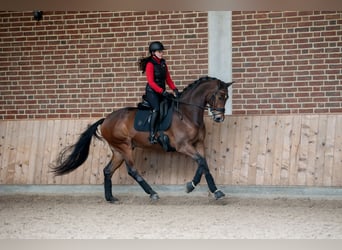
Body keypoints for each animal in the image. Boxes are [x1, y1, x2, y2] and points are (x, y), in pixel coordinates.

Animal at [50, 76, 234, 203]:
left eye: (226, 97)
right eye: (220, 95)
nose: (219, 118)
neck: (187, 114)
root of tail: (106, 119)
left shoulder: (198, 144)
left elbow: (204, 164)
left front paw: (208, 189)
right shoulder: (183, 146)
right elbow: (201, 162)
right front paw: (197, 187)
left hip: (118, 150)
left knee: (108, 171)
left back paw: (111, 198)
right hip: (124, 147)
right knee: (132, 170)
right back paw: (152, 193)